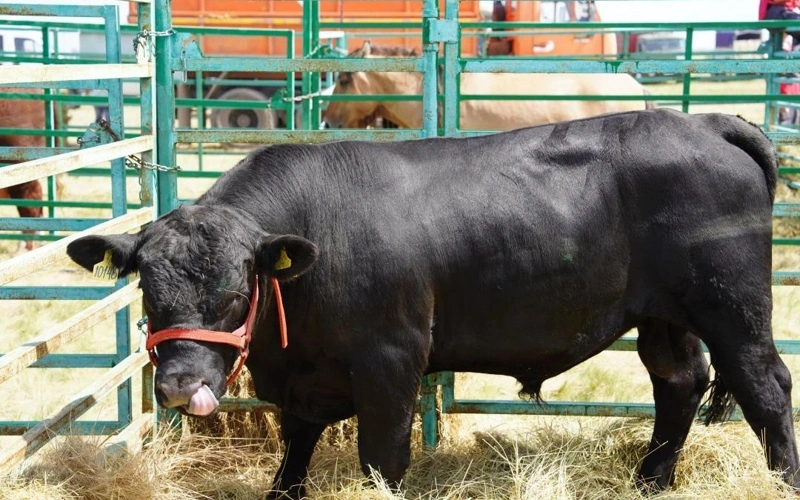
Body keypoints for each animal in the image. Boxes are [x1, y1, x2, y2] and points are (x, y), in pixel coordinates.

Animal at [66, 108, 798, 498]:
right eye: (149, 288)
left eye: (236, 288)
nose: (179, 385)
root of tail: (701, 121)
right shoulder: (303, 379)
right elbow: (295, 449)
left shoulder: (391, 360)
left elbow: (382, 457)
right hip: (664, 316)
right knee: (680, 381)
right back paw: (650, 480)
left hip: (733, 307)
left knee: (765, 385)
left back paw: (781, 480)